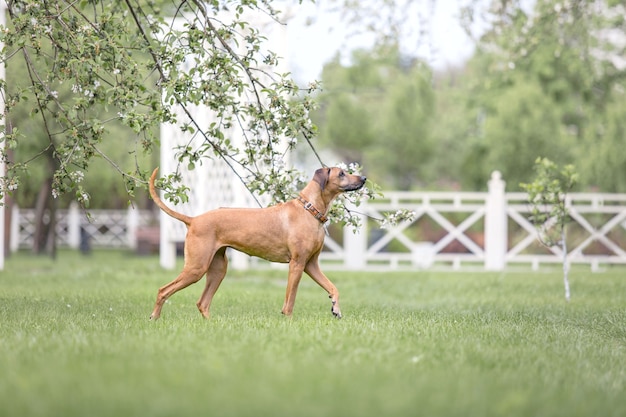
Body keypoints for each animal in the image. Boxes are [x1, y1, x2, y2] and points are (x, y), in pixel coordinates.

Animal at [147, 166, 366, 318]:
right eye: (341, 173)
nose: (363, 178)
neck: (310, 209)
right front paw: (288, 321)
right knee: (163, 290)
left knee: (202, 303)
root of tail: (193, 219)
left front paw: (336, 308)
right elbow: (290, 300)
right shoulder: (297, 264)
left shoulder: (311, 264)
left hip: (218, 269)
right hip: (196, 267)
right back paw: (154, 318)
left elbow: (333, 287)